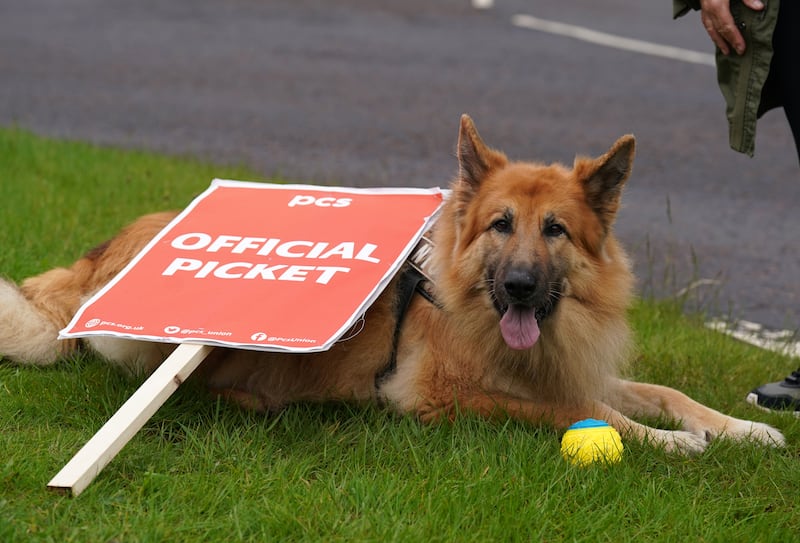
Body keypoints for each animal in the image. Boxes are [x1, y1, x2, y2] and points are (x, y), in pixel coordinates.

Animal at [0, 117, 784, 456]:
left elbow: (663, 392)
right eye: (501, 224)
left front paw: (741, 426)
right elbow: (578, 410)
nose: (520, 287)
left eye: (556, 230)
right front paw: (667, 442)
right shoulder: (442, 395)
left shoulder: (567, 359)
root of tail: (99, 257)